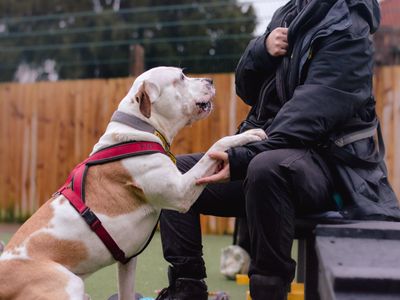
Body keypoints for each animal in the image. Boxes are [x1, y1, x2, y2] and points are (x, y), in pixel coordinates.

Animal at [0, 67, 266, 298]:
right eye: (180, 77)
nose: (210, 80)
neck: (141, 129)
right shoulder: (181, 192)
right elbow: (214, 147)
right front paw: (247, 135)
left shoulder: (127, 261)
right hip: (69, 284)